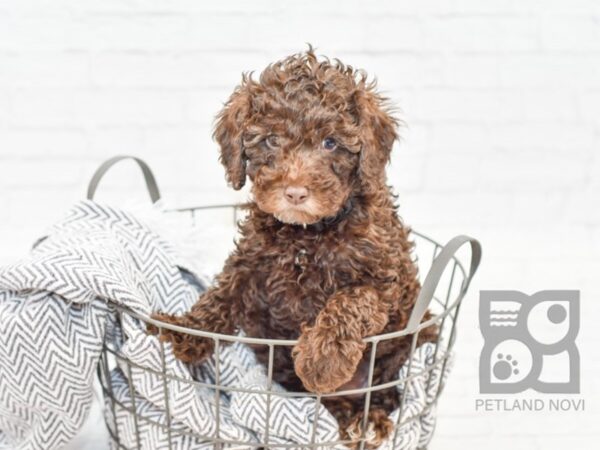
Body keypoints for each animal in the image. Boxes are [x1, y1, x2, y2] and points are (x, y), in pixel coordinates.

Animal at [150, 47, 436, 448]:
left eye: (331, 143)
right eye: (271, 140)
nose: (296, 192)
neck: (307, 234)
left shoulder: (386, 282)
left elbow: (351, 301)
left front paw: (323, 358)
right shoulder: (252, 263)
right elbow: (220, 296)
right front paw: (185, 330)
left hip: (409, 341)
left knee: (385, 390)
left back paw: (367, 420)